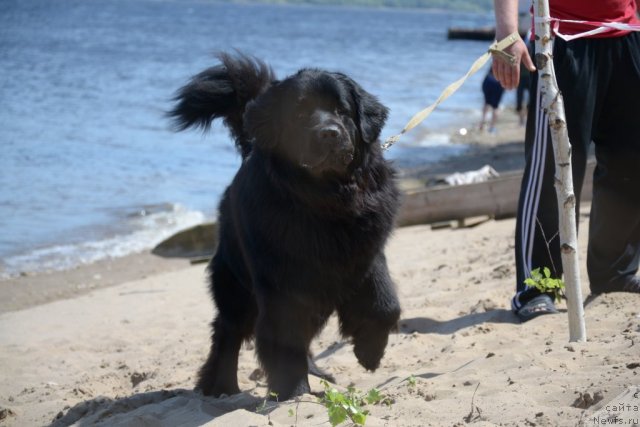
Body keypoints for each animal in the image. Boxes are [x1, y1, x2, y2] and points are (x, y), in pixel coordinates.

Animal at [170, 52, 400, 402]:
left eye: (341, 111)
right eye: (301, 114)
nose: (329, 132)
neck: (326, 202)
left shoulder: (365, 255)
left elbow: (384, 304)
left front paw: (370, 353)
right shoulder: (282, 283)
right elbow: (284, 337)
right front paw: (294, 392)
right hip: (237, 285)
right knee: (227, 330)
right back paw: (222, 388)